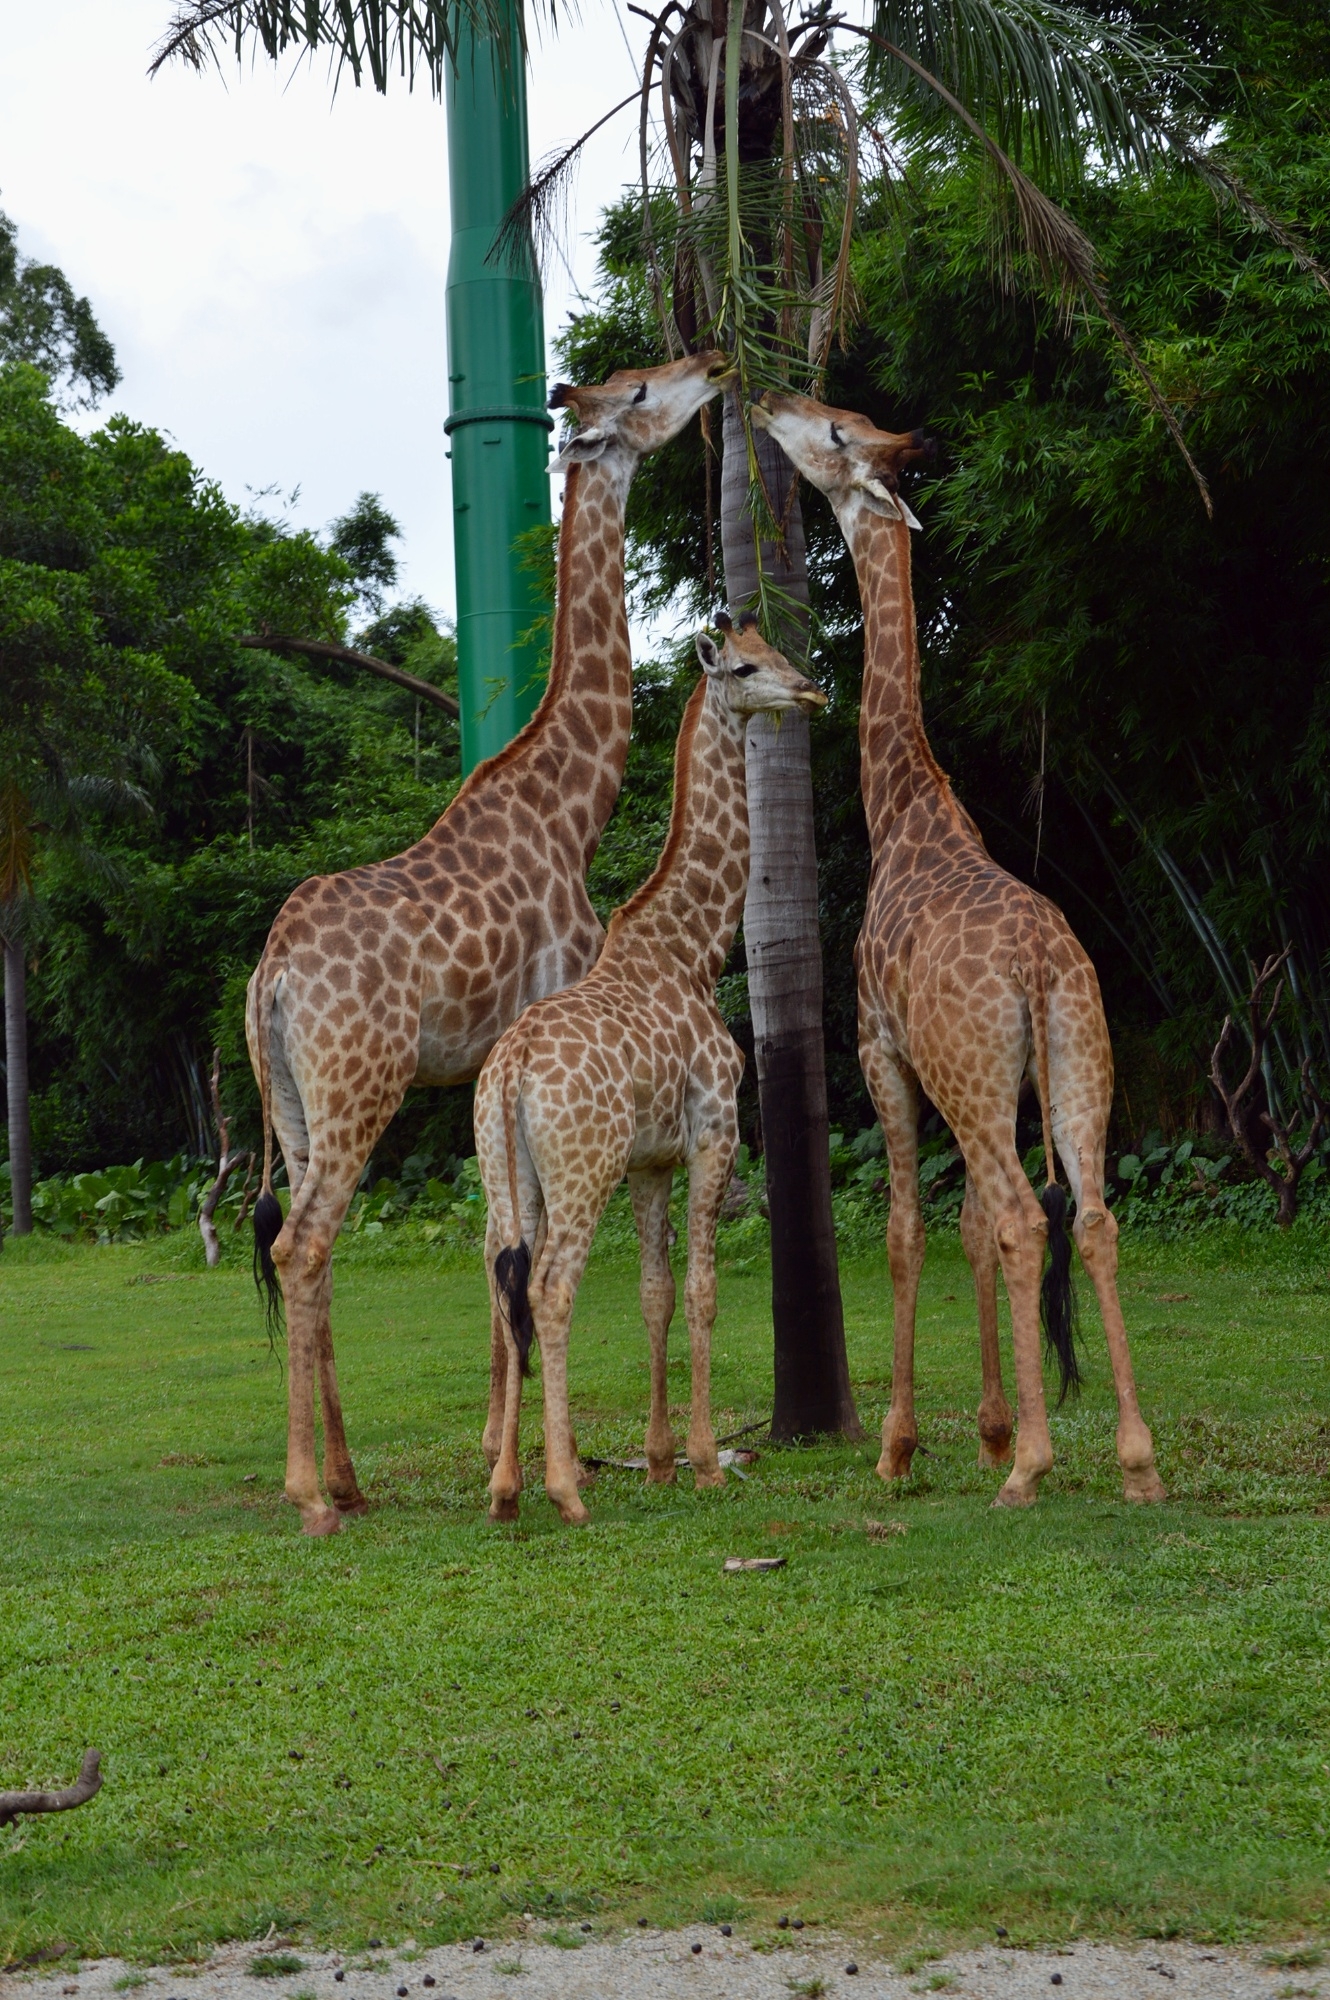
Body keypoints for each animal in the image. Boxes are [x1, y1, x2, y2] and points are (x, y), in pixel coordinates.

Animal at [243, 348, 732, 1528]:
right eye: (639, 391)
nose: (709, 360)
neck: (571, 803)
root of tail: (270, 976)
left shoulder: (480, 1071)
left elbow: (493, 1243)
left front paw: (499, 1452)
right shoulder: (536, 1014)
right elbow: (519, 1251)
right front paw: (529, 1457)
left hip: (293, 1099)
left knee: (303, 1247)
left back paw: (348, 1475)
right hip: (361, 1083)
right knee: (306, 1239)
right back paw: (311, 1490)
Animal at [472, 616, 824, 1520]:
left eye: (778, 653)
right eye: (745, 667)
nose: (810, 690)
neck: (692, 949)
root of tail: (511, 1070)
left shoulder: (649, 1161)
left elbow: (654, 1295)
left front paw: (662, 1459)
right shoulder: (712, 1134)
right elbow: (702, 1292)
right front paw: (704, 1461)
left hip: (511, 1172)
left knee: (504, 1284)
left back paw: (506, 1484)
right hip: (581, 1167)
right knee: (550, 1289)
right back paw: (565, 1487)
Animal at [752, 390, 1168, 1504]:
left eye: (835, 434)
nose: (770, 398)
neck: (902, 808)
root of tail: (1036, 968)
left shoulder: (882, 1052)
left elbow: (911, 1234)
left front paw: (905, 1446)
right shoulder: (989, 1077)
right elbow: (971, 1231)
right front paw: (985, 1426)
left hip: (976, 1071)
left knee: (1029, 1217)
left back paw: (1032, 1467)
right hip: (1075, 1053)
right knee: (1093, 1217)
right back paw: (1135, 1460)